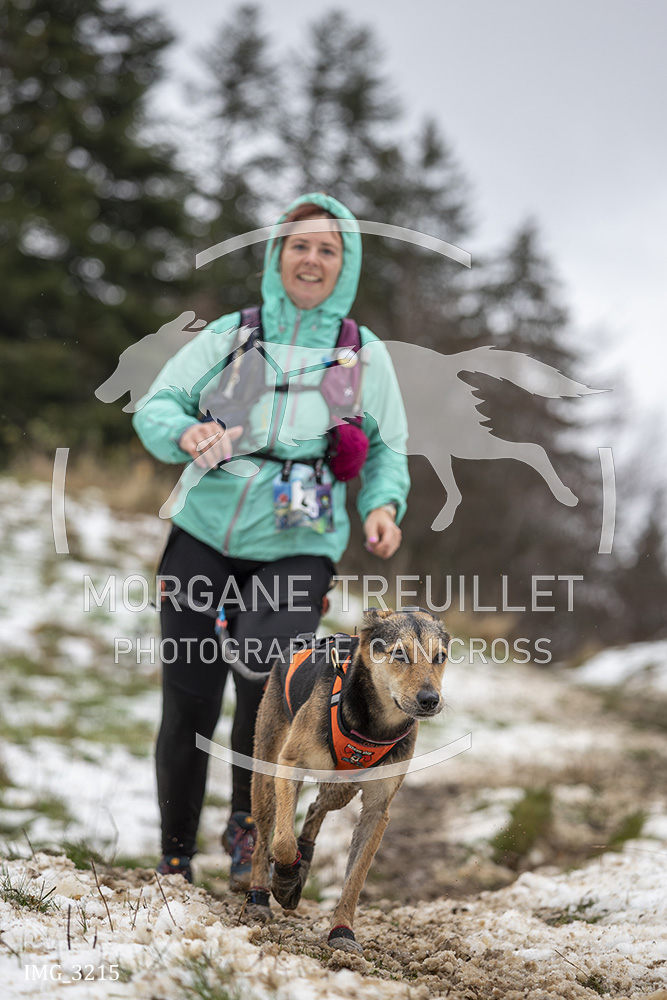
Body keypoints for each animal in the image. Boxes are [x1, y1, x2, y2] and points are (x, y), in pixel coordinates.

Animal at [243, 607, 450, 953]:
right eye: (399, 654)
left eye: (440, 657)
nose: (430, 699)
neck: (374, 726)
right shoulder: (289, 766)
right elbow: (282, 842)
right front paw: (284, 882)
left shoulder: (378, 809)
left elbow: (356, 877)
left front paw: (341, 930)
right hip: (267, 774)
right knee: (264, 834)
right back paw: (260, 894)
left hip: (342, 787)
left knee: (315, 808)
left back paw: (305, 858)